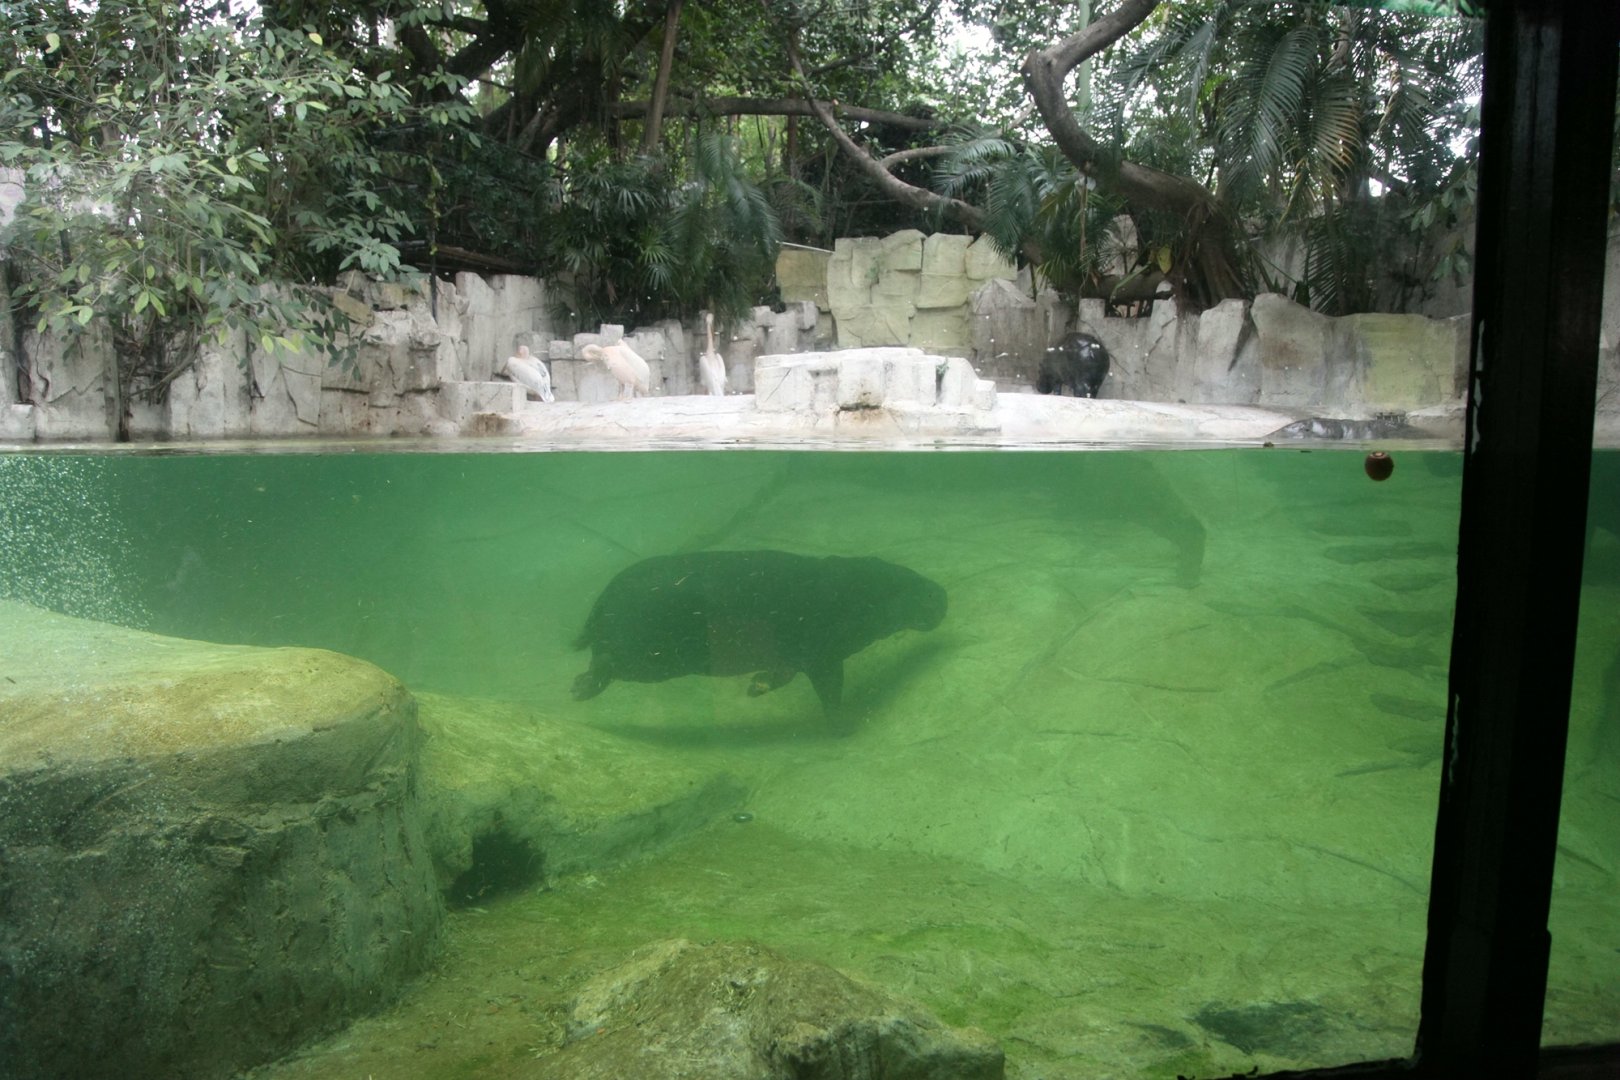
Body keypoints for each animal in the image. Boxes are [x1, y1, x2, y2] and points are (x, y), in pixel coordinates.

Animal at [571, 550, 947, 717]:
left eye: (904, 570)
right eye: (902, 584)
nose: (941, 593)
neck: (856, 593)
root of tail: (601, 602)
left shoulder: (809, 655)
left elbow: (785, 674)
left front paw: (755, 687)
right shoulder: (822, 654)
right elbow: (828, 690)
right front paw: (840, 725)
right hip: (642, 658)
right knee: (604, 663)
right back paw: (579, 691)